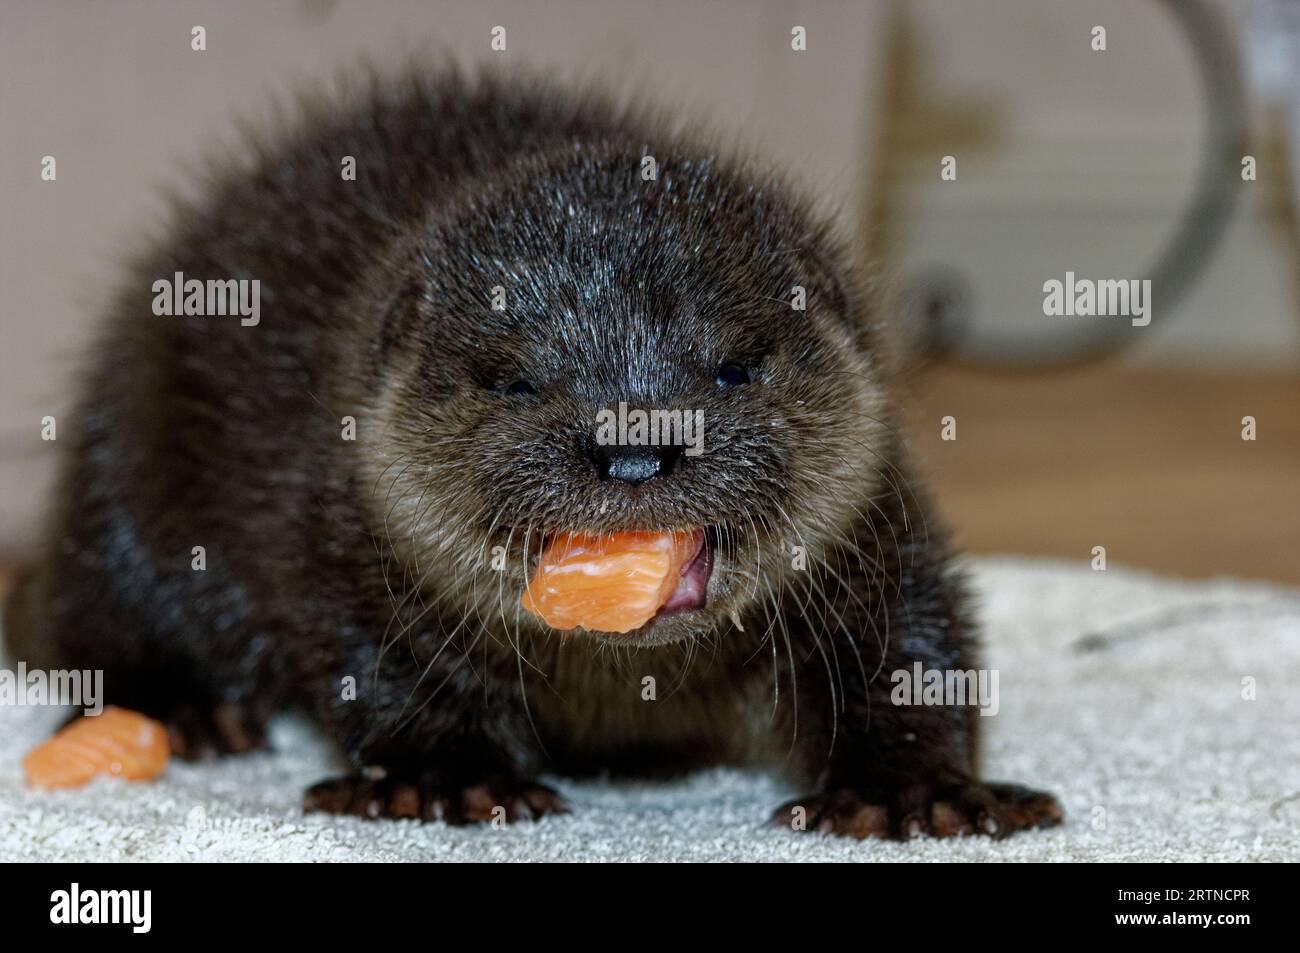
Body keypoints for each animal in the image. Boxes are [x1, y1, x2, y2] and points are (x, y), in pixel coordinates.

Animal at [7, 70, 1066, 837]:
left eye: (731, 368)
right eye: (517, 380)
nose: (634, 450)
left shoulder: (881, 526)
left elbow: (915, 649)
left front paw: (914, 790)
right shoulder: (334, 523)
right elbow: (377, 662)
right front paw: (441, 777)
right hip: (123, 462)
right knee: (96, 611)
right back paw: (185, 710)